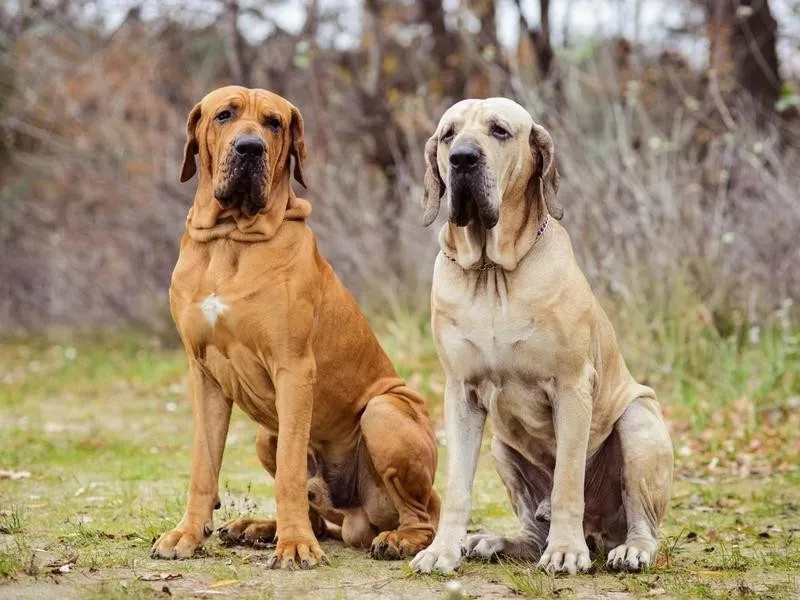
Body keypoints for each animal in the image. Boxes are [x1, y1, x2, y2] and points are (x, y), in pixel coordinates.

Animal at [150, 84, 438, 568]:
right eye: (224, 115)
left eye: (274, 123)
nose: (250, 148)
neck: (231, 239)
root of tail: (355, 517)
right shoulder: (204, 375)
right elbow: (203, 465)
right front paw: (187, 534)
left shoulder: (294, 368)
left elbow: (288, 472)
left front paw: (296, 546)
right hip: (265, 434)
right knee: (319, 513)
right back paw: (258, 528)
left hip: (383, 412)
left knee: (426, 515)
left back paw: (396, 540)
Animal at [410, 99, 672, 576]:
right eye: (448, 135)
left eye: (499, 131)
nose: (462, 159)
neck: (491, 273)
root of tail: (601, 535)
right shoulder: (460, 394)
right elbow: (456, 487)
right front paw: (442, 550)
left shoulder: (571, 388)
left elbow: (568, 480)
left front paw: (566, 551)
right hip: (502, 448)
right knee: (533, 530)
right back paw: (494, 542)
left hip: (639, 422)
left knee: (640, 521)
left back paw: (630, 550)